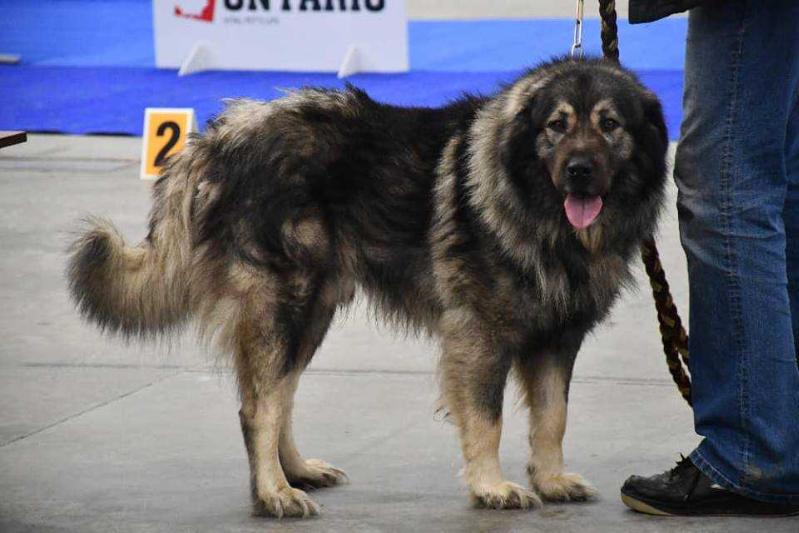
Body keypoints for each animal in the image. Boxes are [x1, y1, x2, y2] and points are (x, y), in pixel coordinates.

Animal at [67, 57, 668, 516]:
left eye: (610, 124)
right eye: (557, 126)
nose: (580, 171)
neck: (536, 210)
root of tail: (224, 135)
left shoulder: (558, 338)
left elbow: (552, 417)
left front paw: (551, 479)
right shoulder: (480, 336)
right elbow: (488, 419)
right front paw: (491, 487)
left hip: (311, 312)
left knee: (280, 395)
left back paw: (296, 472)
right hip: (286, 304)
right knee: (259, 407)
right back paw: (274, 493)